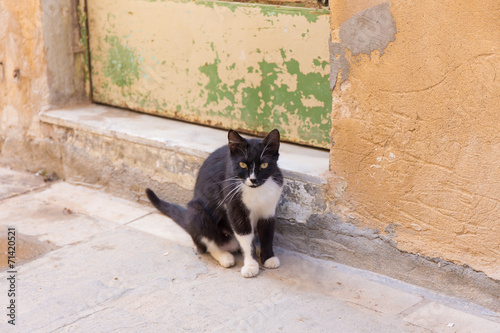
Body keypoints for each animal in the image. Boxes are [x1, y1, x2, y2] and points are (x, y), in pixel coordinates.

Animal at [146, 128, 284, 276]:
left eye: (264, 164)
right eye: (242, 164)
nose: (253, 180)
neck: (257, 190)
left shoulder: (269, 208)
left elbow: (267, 234)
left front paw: (268, 257)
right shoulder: (234, 206)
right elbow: (245, 237)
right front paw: (251, 265)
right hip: (196, 211)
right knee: (207, 242)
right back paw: (224, 256)